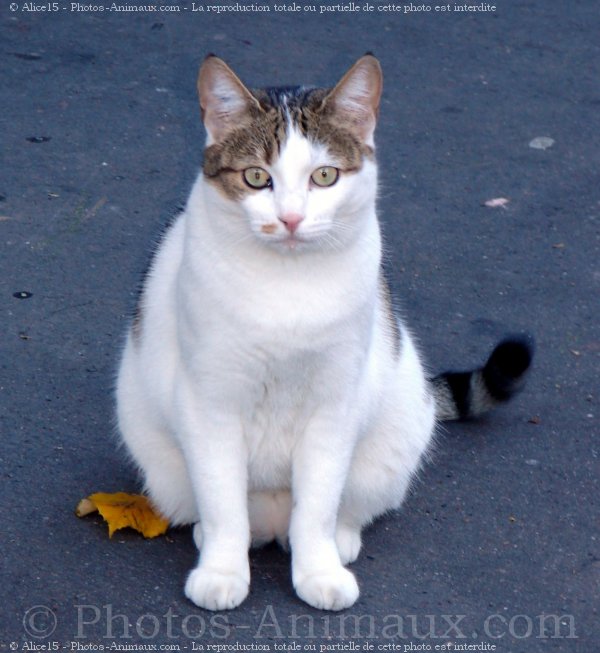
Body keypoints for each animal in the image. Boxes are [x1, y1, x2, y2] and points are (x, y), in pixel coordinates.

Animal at [115, 52, 532, 612]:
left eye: (325, 175)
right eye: (256, 177)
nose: (291, 219)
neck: (288, 288)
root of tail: (272, 521)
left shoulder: (335, 403)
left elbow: (317, 504)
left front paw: (319, 571)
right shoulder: (211, 402)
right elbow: (223, 501)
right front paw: (222, 571)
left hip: (389, 447)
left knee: (344, 505)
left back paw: (340, 539)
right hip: (163, 465)